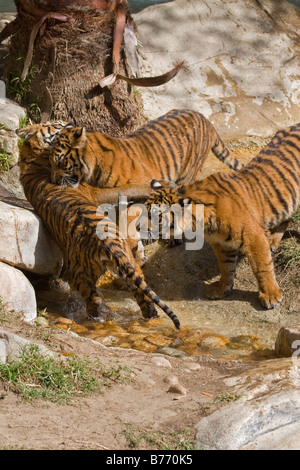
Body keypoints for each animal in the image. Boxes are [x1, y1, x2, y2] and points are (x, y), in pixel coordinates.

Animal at [17, 121, 180, 328]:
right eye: (56, 124)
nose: (70, 123)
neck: (32, 157)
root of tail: (107, 244)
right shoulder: (96, 192)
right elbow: (129, 188)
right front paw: (164, 183)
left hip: (116, 270)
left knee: (136, 297)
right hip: (82, 274)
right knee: (98, 300)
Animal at [145, 123, 300, 310]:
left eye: (155, 216)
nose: (137, 228)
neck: (201, 222)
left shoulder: (253, 238)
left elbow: (262, 267)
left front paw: (270, 296)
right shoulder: (222, 243)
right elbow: (226, 267)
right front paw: (222, 289)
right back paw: (272, 242)